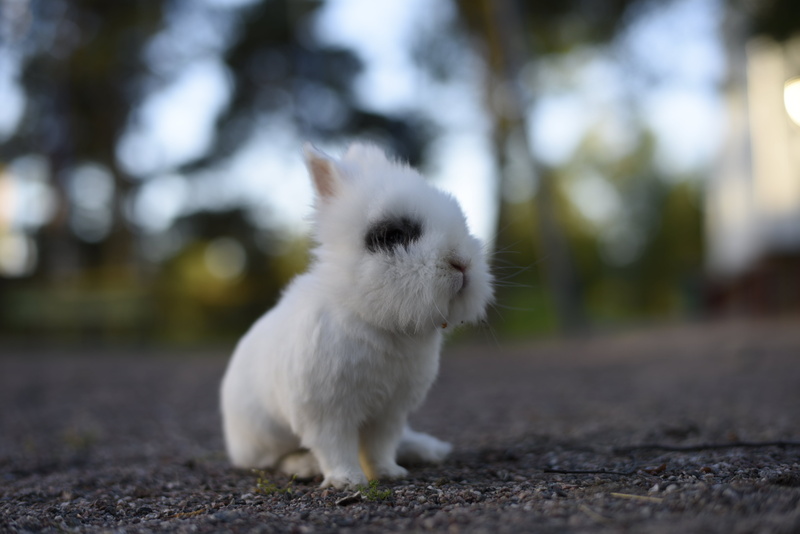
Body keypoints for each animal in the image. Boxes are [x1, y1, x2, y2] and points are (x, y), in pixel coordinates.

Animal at [220, 143, 493, 489]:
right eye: (392, 236)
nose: (462, 263)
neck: (376, 318)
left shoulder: (390, 412)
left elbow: (380, 446)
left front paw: (390, 473)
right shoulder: (327, 412)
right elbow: (335, 448)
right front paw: (348, 481)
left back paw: (426, 450)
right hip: (264, 438)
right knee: (273, 460)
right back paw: (305, 465)